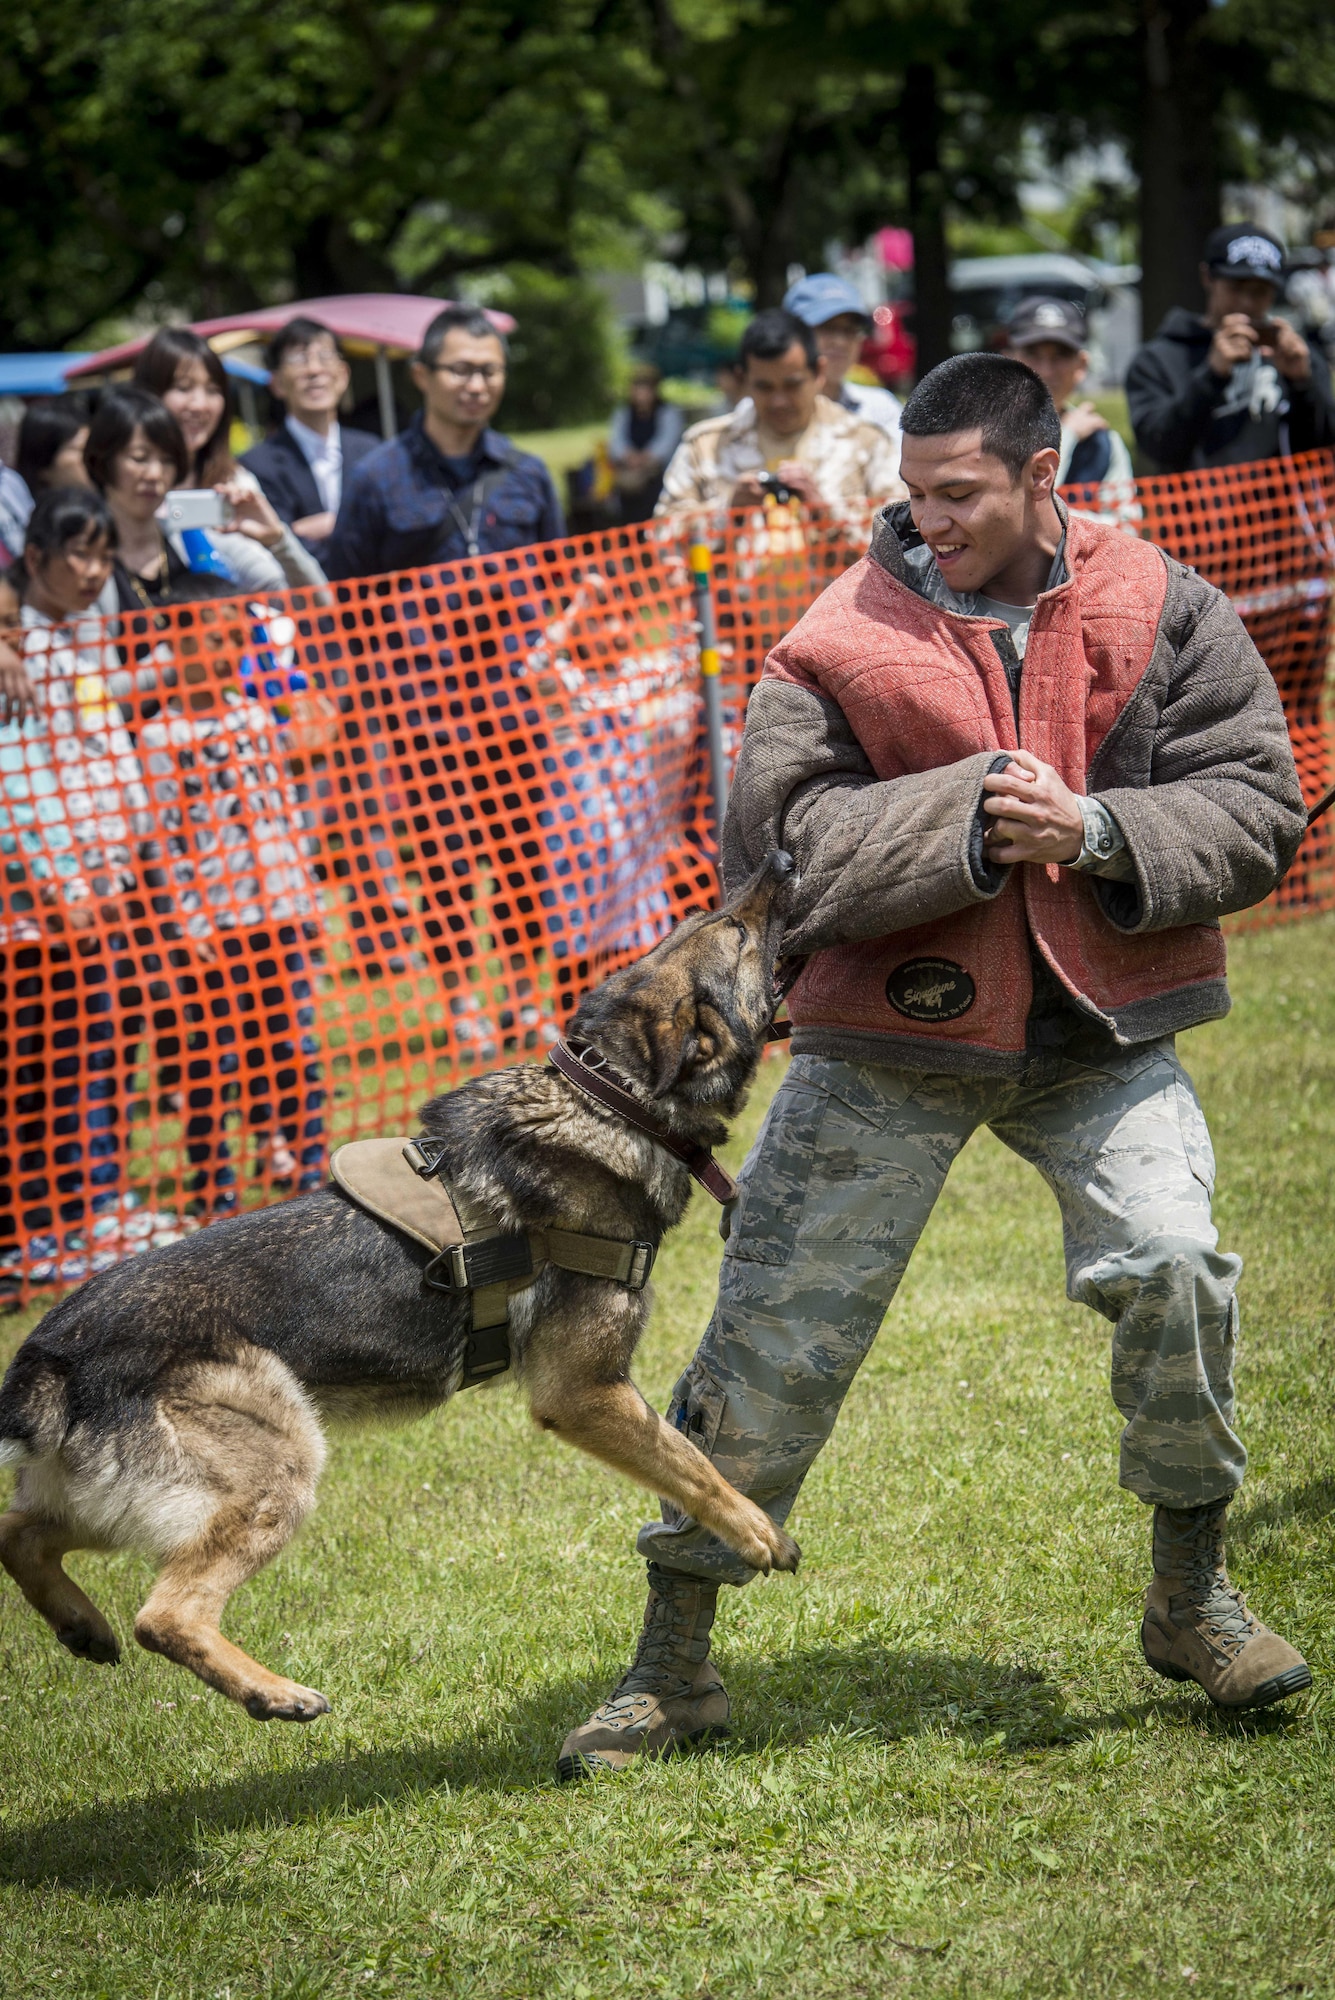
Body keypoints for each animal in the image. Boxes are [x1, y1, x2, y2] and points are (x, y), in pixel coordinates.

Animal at [0, 852, 791, 1712]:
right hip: (274, 1469)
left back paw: (83, 1626)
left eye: (704, 919)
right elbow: (692, 1465)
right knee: (163, 1613)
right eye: (736, 932)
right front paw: (755, 1532)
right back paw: (273, 1694)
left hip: (118, 1500)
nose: (780, 861)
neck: (613, 1098)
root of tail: (49, 1357)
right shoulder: (586, 1393)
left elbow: (687, 1459)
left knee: (18, 1535)